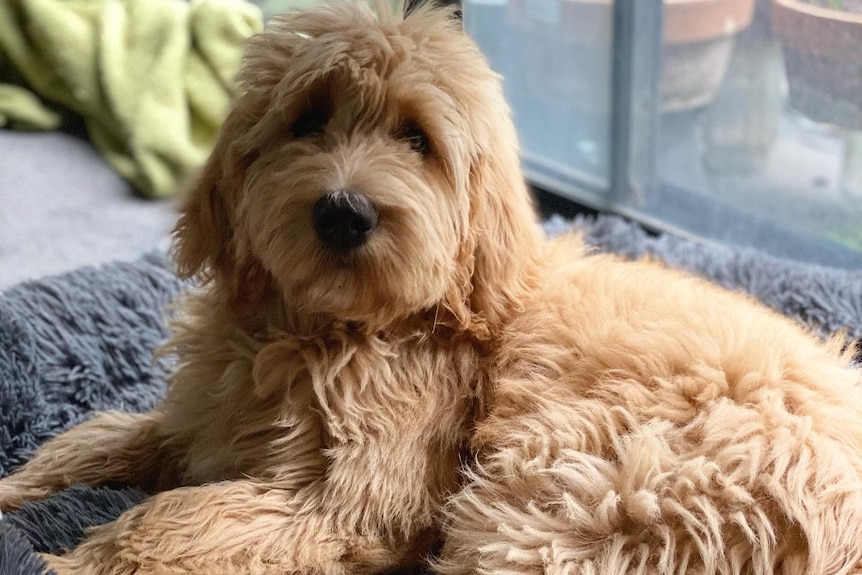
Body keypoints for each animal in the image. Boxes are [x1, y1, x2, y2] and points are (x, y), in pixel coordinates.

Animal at [1, 2, 862, 572]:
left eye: (417, 140)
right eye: (307, 121)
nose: (344, 211)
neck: (334, 327)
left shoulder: (348, 497)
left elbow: (181, 516)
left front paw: (74, 558)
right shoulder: (201, 419)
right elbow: (103, 434)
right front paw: (20, 486)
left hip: (558, 501)